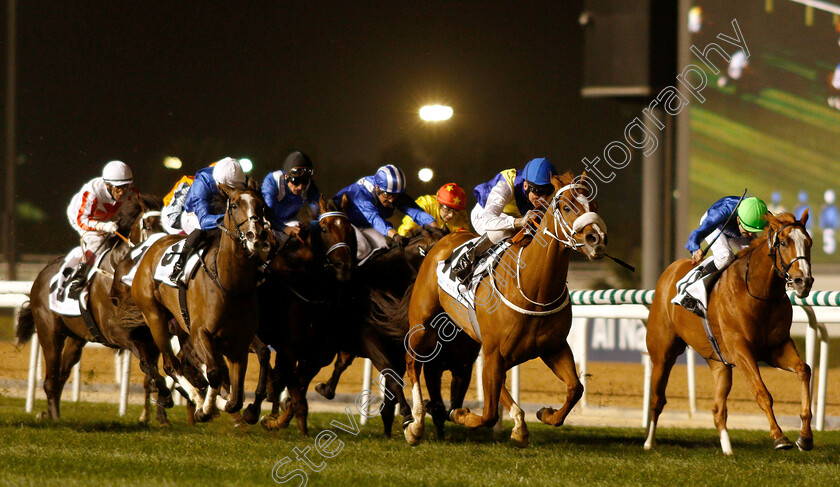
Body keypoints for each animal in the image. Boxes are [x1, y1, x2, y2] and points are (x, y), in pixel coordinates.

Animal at [14, 194, 175, 424]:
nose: (161, 249)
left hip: (76, 338)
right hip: (49, 334)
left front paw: (161, 413)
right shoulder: (118, 333)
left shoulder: (151, 332)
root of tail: (41, 275)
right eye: (149, 225)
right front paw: (162, 399)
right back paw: (54, 418)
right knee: (50, 380)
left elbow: (156, 369)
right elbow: (146, 364)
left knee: (61, 376)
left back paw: (52, 413)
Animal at [131, 182, 274, 424]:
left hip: (180, 326)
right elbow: (215, 373)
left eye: (261, 205)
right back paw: (194, 401)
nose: (255, 236)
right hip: (155, 318)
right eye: (234, 205)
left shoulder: (239, 344)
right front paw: (205, 409)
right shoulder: (201, 333)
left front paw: (242, 408)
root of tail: (153, 246)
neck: (230, 284)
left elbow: (236, 395)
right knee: (171, 365)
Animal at [404, 173, 608, 448]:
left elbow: (575, 388)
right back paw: (415, 425)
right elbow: (488, 414)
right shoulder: (495, 352)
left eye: (594, 205)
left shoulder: (553, 347)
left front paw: (545, 414)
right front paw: (459, 413)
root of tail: (441, 240)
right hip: (422, 324)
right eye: (566, 207)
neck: (534, 289)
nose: (596, 239)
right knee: (412, 364)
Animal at [644, 212, 812, 456]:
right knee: (657, 399)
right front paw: (779, 437)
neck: (759, 293)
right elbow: (762, 393)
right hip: (662, 354)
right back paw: (649, 443)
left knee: (718, 409)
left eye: (808, 242)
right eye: (783, 242)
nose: (804, 281)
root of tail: (671, 269)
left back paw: (728, 450)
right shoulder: (742, 350)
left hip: (718, 362)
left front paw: (805, 437)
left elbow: (804, 370)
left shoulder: (776, 347)